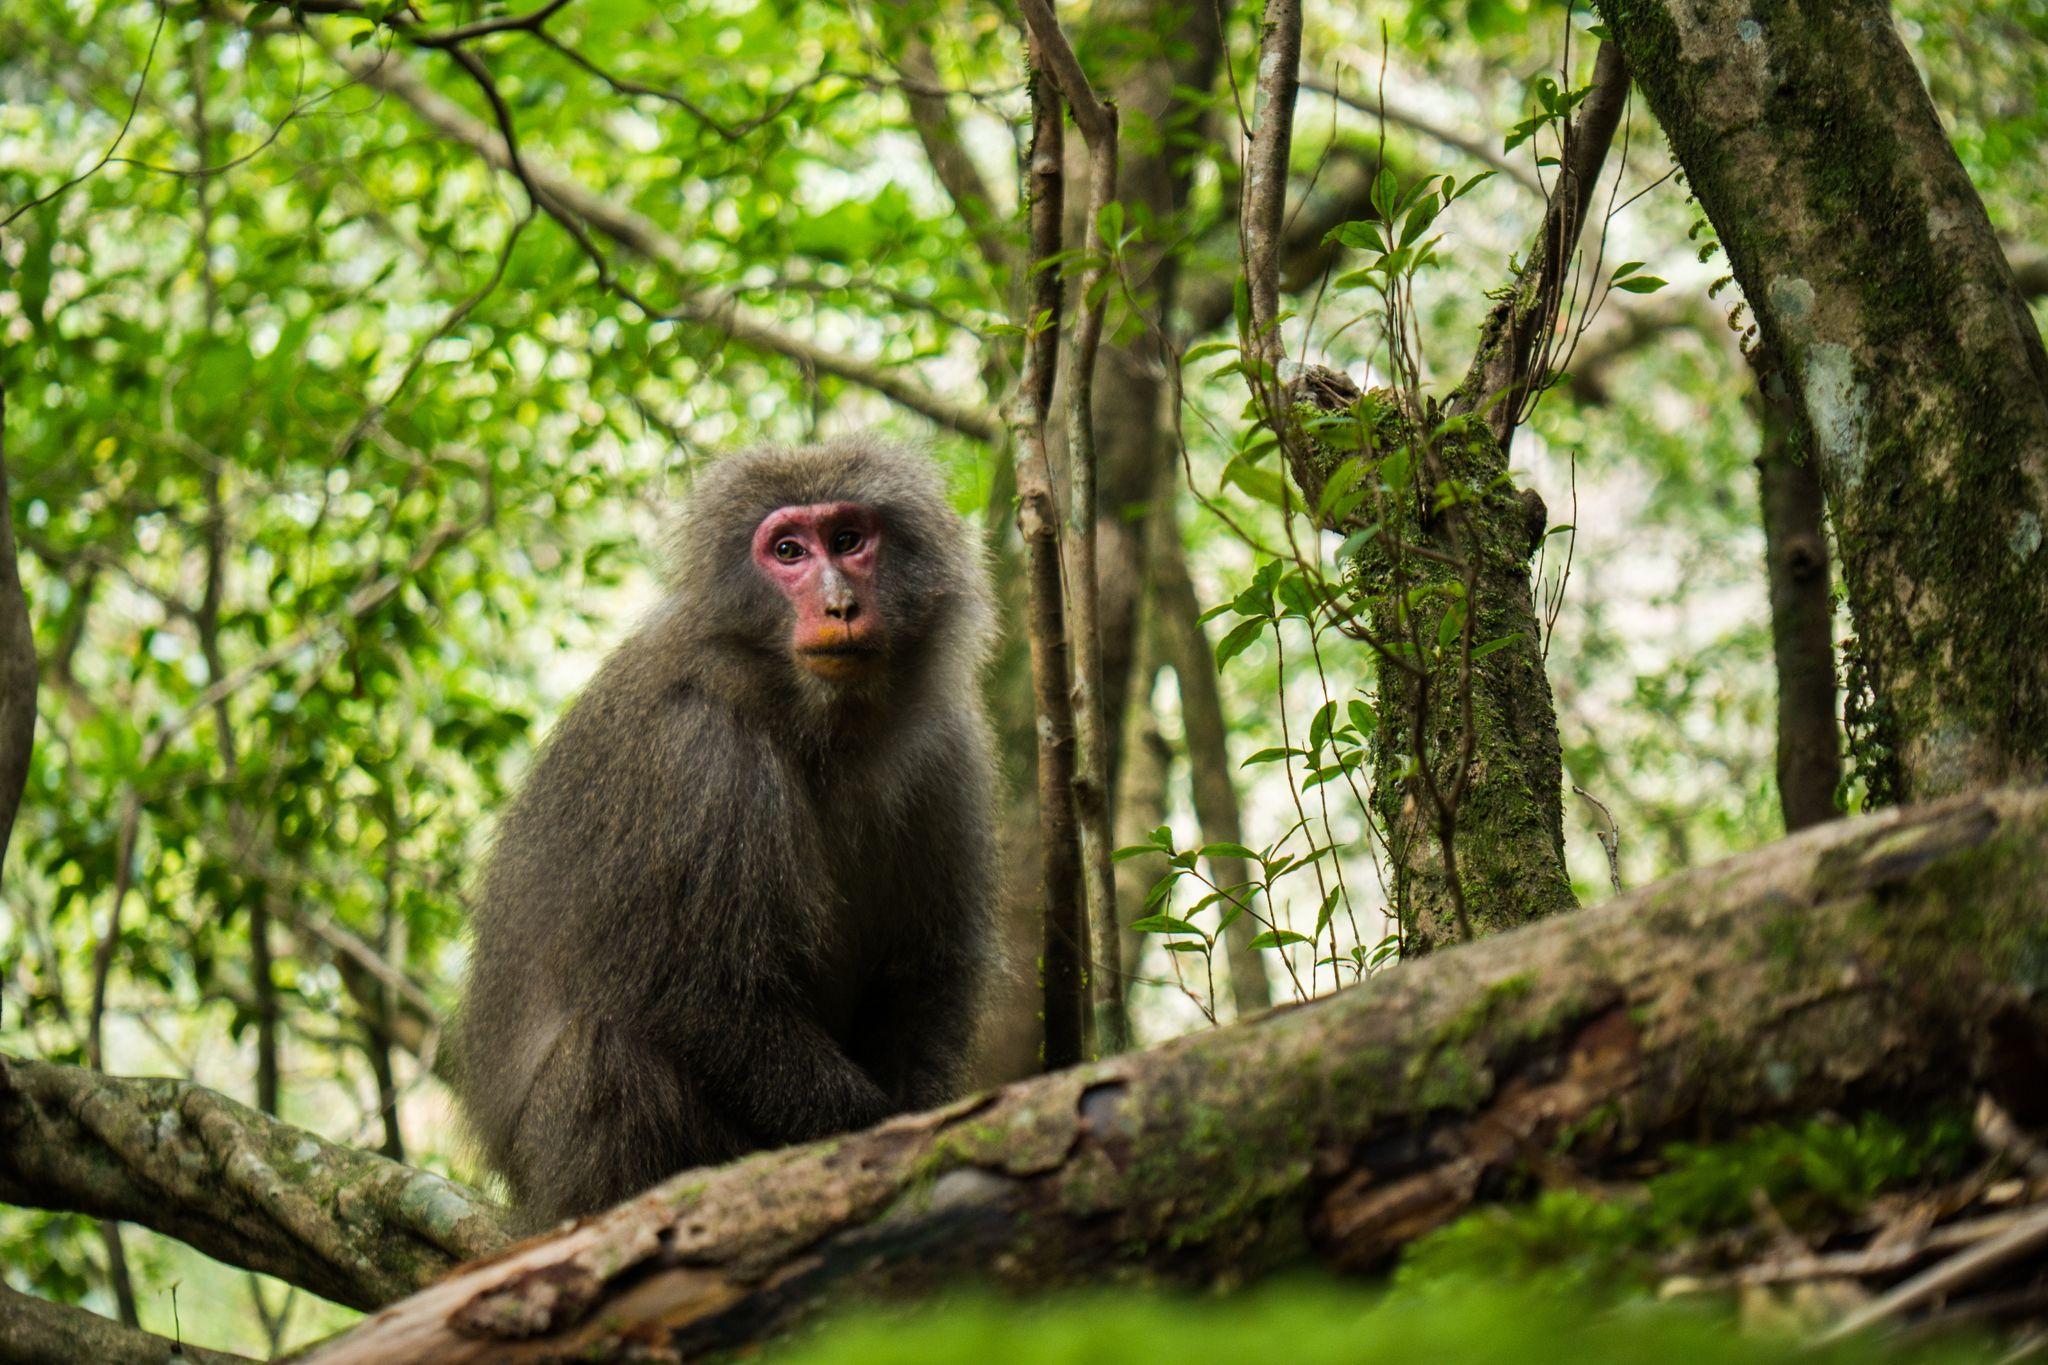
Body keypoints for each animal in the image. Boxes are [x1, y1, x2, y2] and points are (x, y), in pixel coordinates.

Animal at [460, 437, 1003, 1227]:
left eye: (849, 539)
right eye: (788, 551)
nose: (840, 605)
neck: (816, 723)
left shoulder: (945, 749)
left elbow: (922, 974)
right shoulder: (699, 760)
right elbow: (706, 998)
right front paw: (868, 1135)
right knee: (605, 1059)